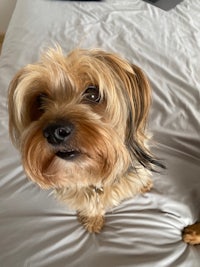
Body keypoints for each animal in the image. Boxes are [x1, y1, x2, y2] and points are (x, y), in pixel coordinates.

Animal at [8, 47, 163, 233]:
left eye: (93, 93)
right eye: (39, 100)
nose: (54, 132)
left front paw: (144, 184)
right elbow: (91, 205)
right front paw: (93, 219)